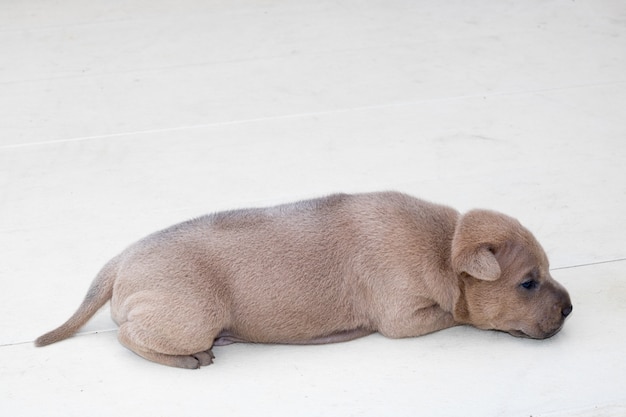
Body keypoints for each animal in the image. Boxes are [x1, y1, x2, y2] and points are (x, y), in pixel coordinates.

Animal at [35, 192, 572, 368]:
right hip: (193, 316)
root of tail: (120, 261)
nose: (569, 309)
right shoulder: (405, 317)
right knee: (127, 335)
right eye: (528, 282)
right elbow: (456, 315)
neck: (444, 244)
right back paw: (191, 357)